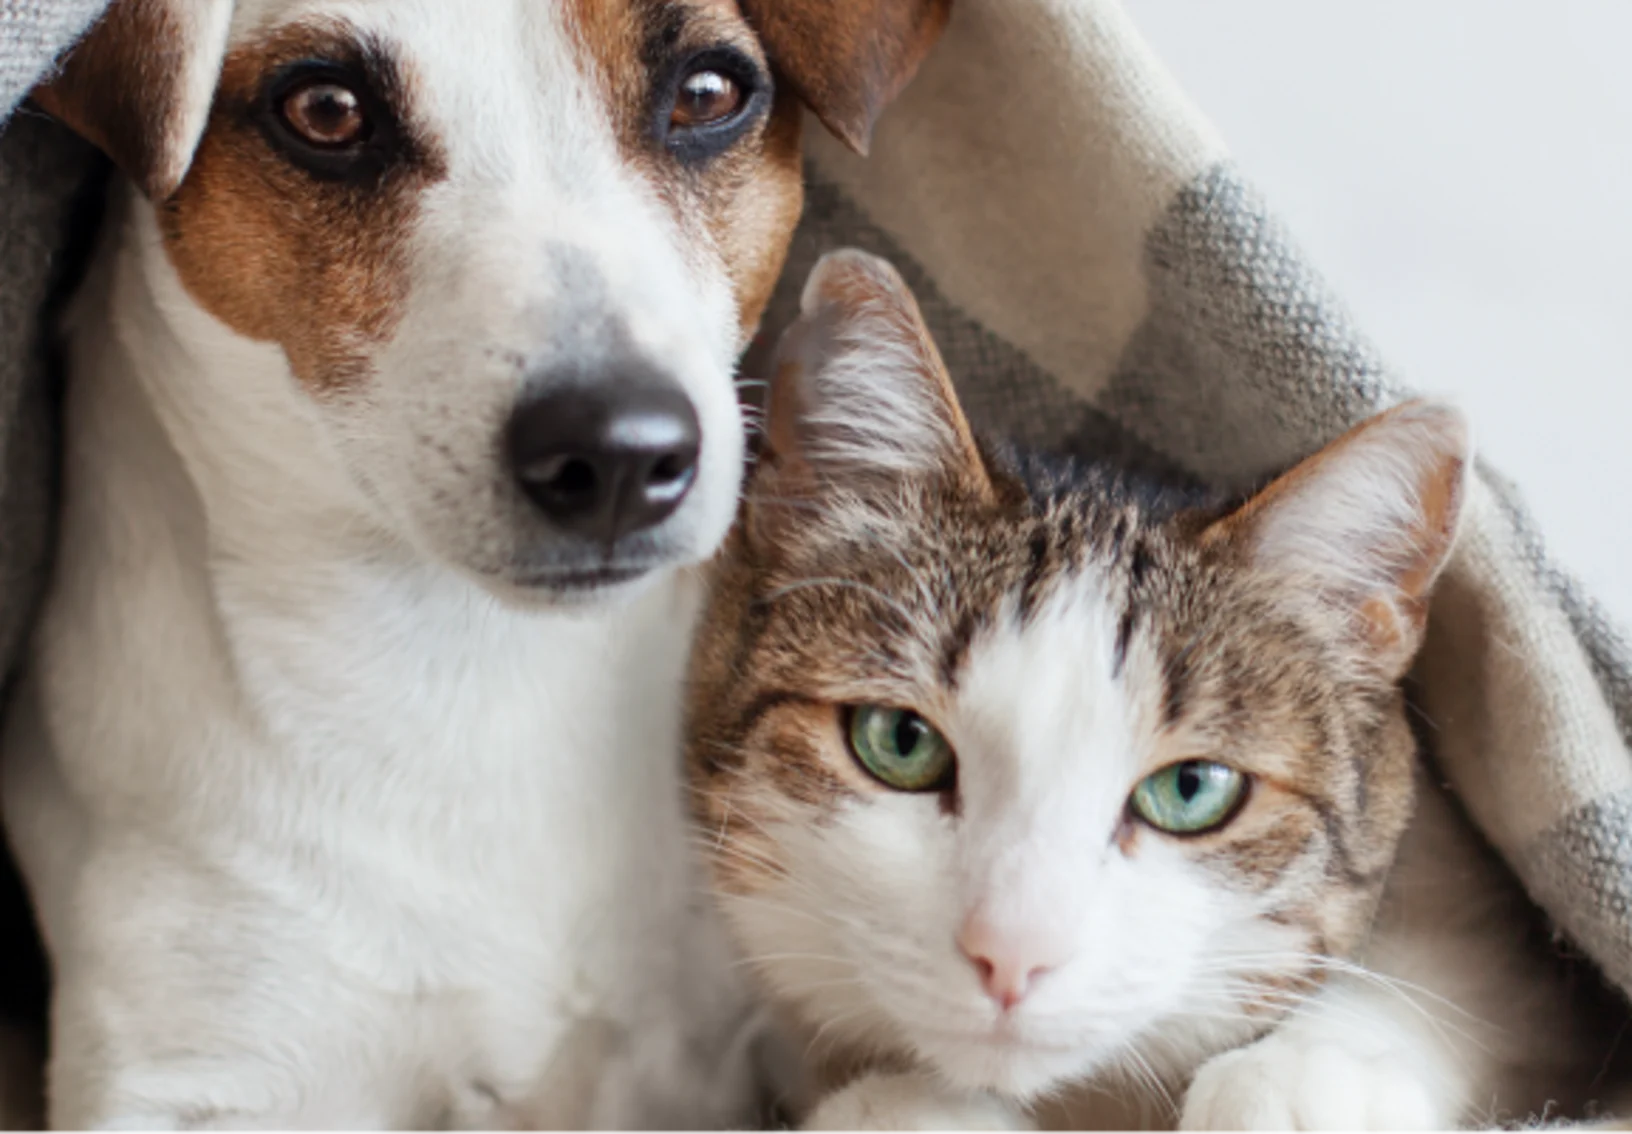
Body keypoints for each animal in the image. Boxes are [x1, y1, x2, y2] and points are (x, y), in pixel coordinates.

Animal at [682, 251, 1625, 1134]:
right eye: (899, 742)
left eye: (1192, 789)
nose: (1011, 954)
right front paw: (902, 1106)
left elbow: (1469, 979)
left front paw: (1303, 1076)